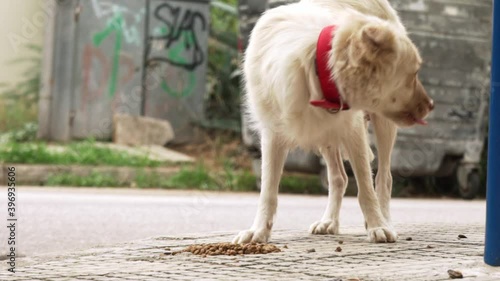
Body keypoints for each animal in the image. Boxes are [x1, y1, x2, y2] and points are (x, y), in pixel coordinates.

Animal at [234, 0, 434, 242]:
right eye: (413, 74)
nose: (432, 105)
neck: (317, 66)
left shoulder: (353, 131)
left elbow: (366, 188)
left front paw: (377, 225)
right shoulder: (273, 134)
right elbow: (268, 192)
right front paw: (259, 231)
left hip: (383, 125)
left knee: (384, 179)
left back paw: (385, 219)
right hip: (326, 136)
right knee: (339, 178)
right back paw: (329, 221)